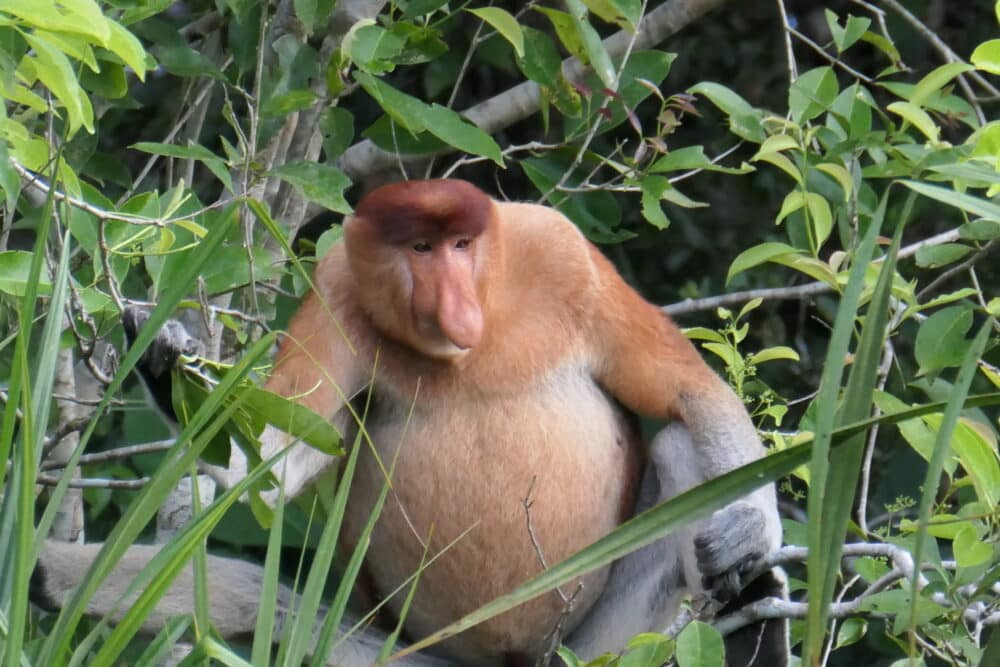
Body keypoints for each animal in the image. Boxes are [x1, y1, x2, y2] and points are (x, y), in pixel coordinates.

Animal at [32, 179, 786, 666]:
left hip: (595, 645)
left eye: (461, 244)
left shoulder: (563, 253)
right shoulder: (335, 292)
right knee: (276, 605)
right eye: (419, 249)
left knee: (680, 446)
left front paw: (750, 537)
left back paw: (751, 607)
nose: (455, 306)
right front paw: (164, 361)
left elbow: (687, 392)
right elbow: (274, 461)